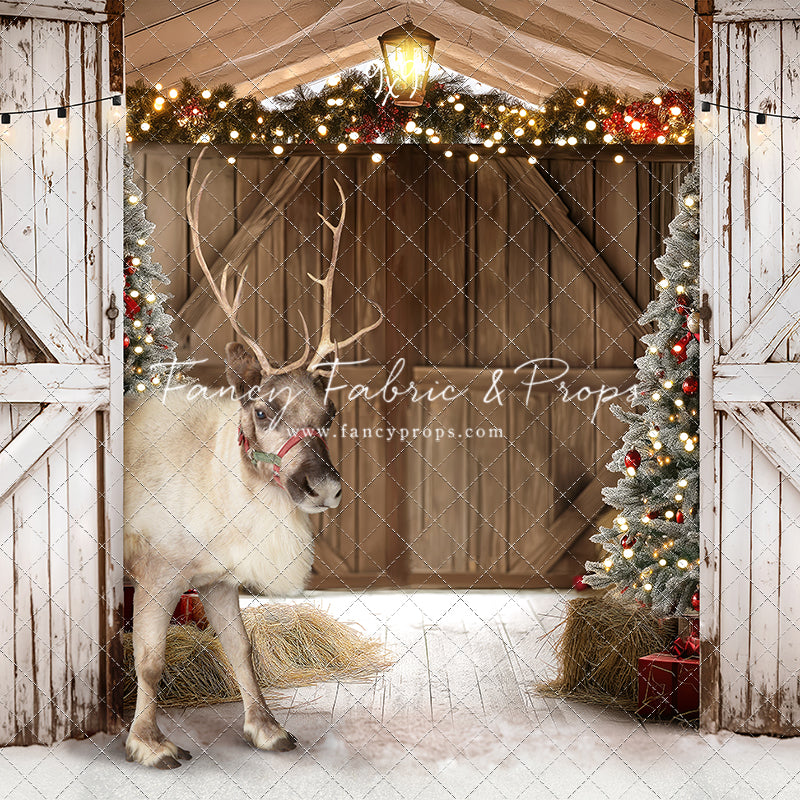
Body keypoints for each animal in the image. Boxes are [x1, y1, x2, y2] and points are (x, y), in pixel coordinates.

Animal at [123, 153, 381, 769]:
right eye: (263, 410)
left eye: (329, 414)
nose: (323, 488)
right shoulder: (157, 571)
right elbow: (151, 659)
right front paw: (149, 743)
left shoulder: (217, 579)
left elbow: (242, 652)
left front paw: (267, 728)